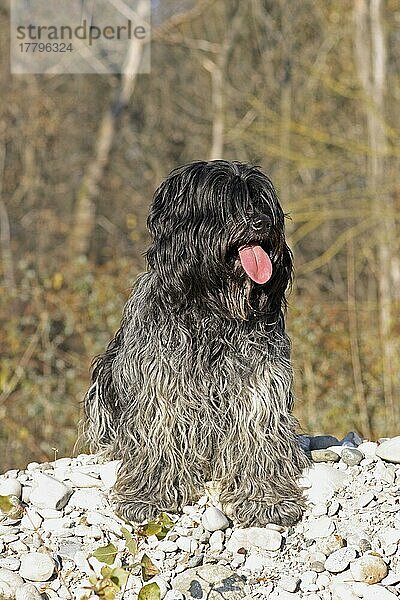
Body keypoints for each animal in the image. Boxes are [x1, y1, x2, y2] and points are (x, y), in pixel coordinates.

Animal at [83, 158, 310, 524]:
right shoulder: (162, 380)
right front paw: (148, 495)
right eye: (225, 202)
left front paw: (266, 498)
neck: (213, 308)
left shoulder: (258, 380)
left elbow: (258, 435)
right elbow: (160, 434)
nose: (262, 223)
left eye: (262, 202)